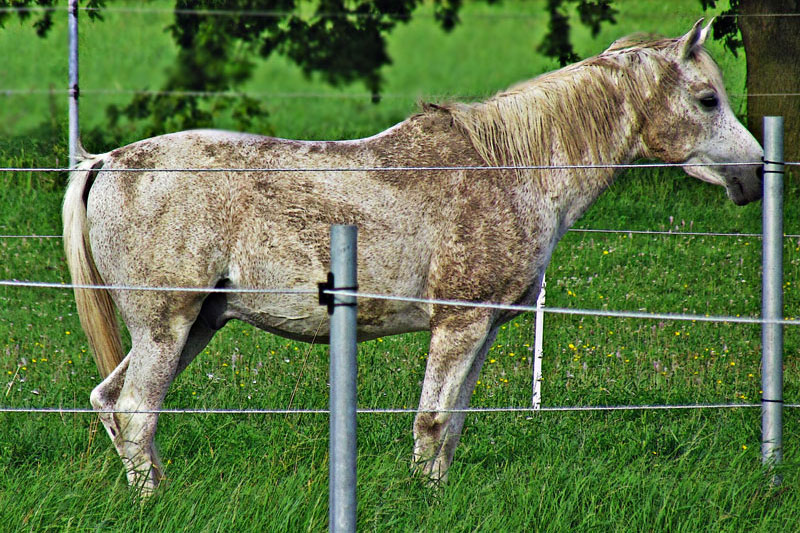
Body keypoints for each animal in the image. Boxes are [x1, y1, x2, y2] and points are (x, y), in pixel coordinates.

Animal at [63, 19, 763, 494]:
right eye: (707, 100)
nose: (756, 173)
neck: (509, 170)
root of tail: (107, 160)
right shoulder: (458, 323)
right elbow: (431, 422)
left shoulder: (481, 328)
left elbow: (450, 428)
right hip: (166, 324)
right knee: (135, 412)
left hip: (197, 325)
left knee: (110, 402)